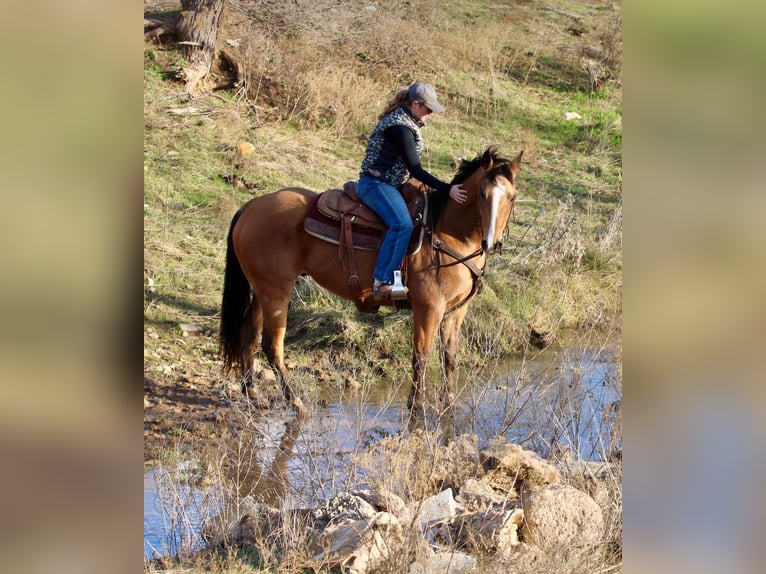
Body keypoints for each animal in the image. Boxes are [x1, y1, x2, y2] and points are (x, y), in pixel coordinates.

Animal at [219, 146, 524, 430]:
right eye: (482, 195)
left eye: (511, 197)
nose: (491, 243)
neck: (445, 232)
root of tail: (250, 207)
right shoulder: (428, 308)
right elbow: (421, 357)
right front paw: (417, 408)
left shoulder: (456, 311)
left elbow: (449, 357)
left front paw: (448, 405)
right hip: (276, 291)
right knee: (272, 346)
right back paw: (297, 404)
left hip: (261, 290)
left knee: (248, 334)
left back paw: (253, 395)